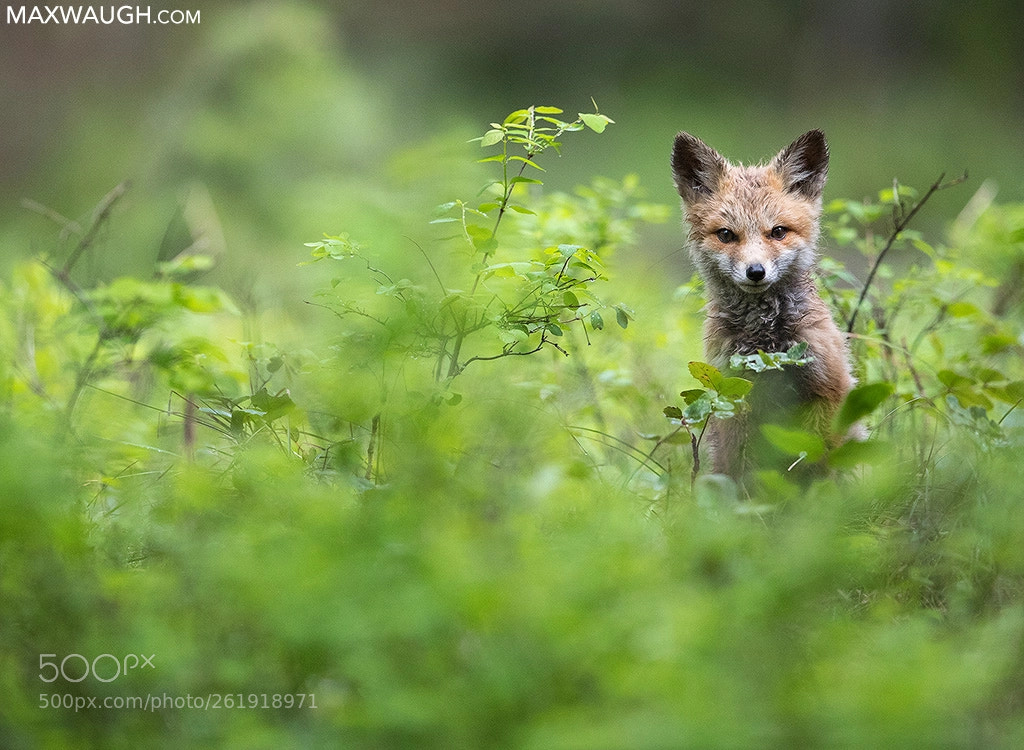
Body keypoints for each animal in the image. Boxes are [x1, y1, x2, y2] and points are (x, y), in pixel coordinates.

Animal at [671, 129, 855, 479]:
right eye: (726, 235)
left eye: (778, 232)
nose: (755, 272)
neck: (766, 340)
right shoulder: (734, 399)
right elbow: (742, 470)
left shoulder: (827, 390)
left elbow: (822, 464)